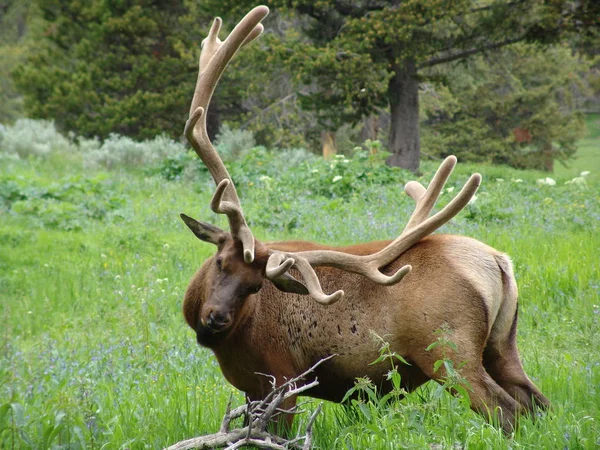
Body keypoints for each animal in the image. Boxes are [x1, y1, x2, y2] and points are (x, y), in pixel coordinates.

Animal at [178, 6, 548, 436]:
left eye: (255, 286)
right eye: (220, 262)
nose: (215, 318)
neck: (236, 341)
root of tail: (499, 262)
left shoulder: (280, 379)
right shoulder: (252, 388)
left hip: (449, 350)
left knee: (506, 411)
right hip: (503, 344)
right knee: (538, 404)